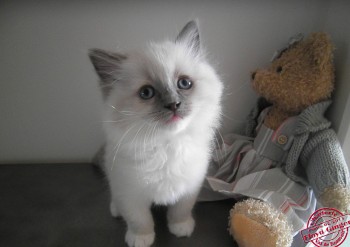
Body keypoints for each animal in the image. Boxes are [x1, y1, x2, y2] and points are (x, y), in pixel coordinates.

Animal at [89, 20, 223, 247]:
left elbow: (180, 210)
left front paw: (181, 228)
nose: (174, 105)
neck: (167, 145)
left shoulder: (190, 186)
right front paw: (140, 239)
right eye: (146, 93)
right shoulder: (130, 193)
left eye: (184, 83)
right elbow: (139, 220)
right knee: (116, 199)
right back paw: (116, 210)